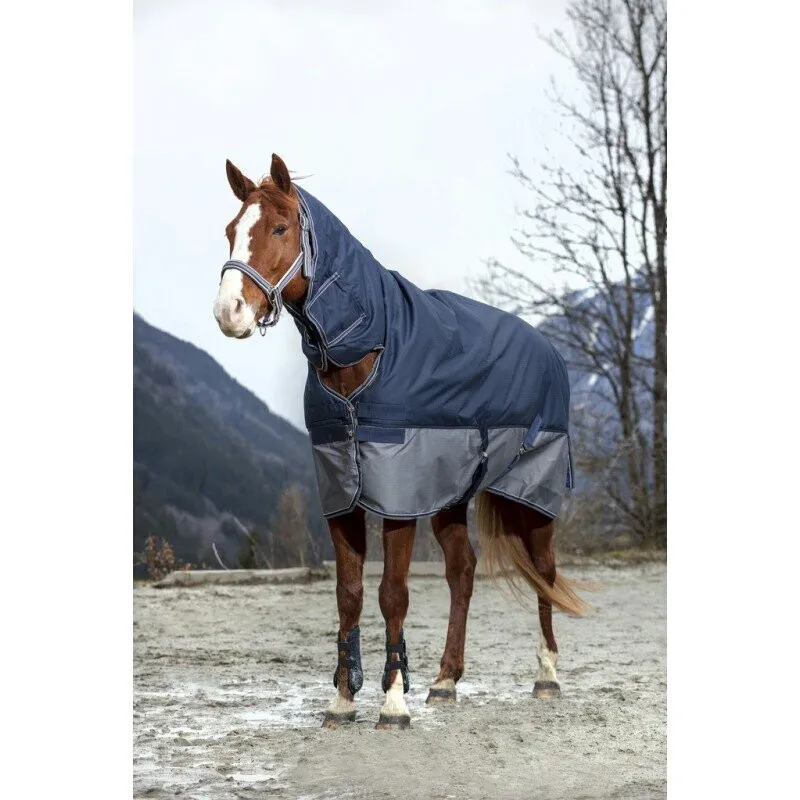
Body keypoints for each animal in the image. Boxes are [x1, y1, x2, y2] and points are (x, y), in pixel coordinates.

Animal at [212, 154, 587, 730]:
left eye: (278, 228)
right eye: (232, 231)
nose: (228, 311)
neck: (368, 353)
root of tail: (547, 348)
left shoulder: (399, 500)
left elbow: (393, 594)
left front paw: (392, 702)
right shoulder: (341, 494)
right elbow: (348, 595)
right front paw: (343, 700)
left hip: (532, 497)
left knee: (544, 572)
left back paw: (546, 677)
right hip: (451, 496)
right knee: (462, 572)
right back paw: (445, 681)